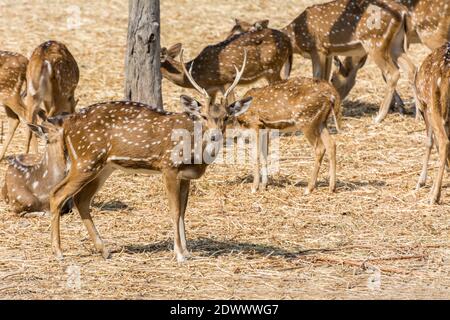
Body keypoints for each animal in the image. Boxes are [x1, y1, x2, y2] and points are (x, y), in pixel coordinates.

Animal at [49, 50, 253, 262]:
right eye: (203, 116)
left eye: (226, 117)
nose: (215, 135)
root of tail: (66, 125)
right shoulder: (168, 166)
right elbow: (174, 210)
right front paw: (179, 254)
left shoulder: (185, 176)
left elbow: (183, 212)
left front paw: (186, 251)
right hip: (85, 159)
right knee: (57, 194)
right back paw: (59, 252)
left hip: (104, 166)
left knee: (81, 199)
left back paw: (104, 250)